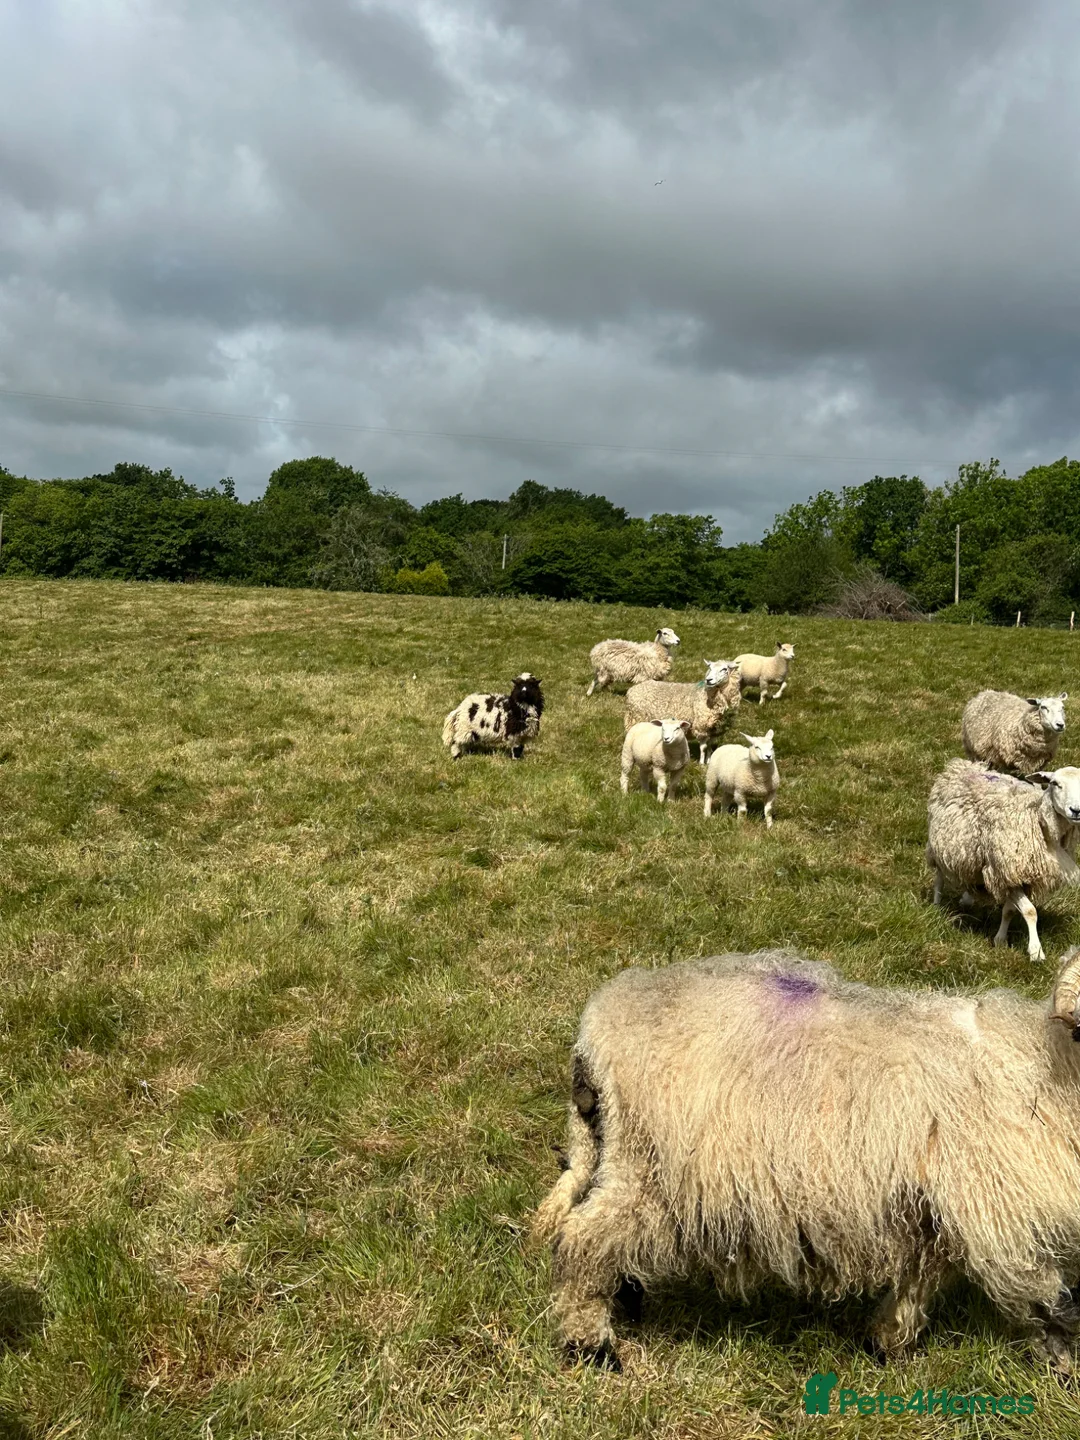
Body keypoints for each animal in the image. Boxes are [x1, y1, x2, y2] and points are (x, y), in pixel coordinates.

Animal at [533, 945, 1080, 1374]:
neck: (1048, 1067)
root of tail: (596, 1031)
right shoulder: (1001, 1215)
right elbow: (1046, 1298)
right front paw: (1063, 1367)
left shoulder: (939, 1208)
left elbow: (921, 1279)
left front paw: (886, 1342)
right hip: (653, 1169)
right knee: (585, 1238)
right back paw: (591, 1344)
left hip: (629, 1160)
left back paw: (622, 1300)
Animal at [926, 759, 1080, 962]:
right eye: (1055, 783)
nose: (1076, 811)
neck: (1037, 820)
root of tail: (962, 766)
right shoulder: (1005, 870)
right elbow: (1030, 911)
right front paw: (1036, 951)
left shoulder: (1018, 878)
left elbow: (1010, 911)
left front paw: (1000, 940)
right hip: (942, 845)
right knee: (939, 877)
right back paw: (936, 905)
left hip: (971, 853)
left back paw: (967, 898)